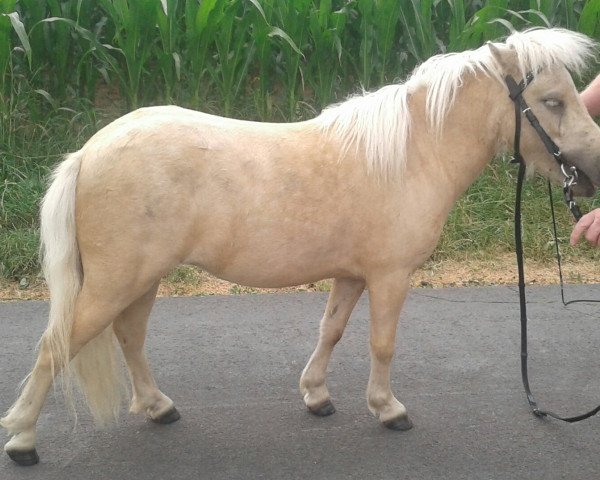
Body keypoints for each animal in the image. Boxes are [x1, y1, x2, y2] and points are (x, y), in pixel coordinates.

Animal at [1, 27, 600, 464]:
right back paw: (24, 440)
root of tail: (89, 151)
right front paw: (388, 409)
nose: (590, 173)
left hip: (141, 278)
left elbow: (330, 330)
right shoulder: (389, 276)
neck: (411, 153)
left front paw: (316, 395)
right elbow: (382, 344)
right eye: (551, 101)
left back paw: (158, 407)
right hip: (115, 280)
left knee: (129, 337)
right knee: (58, 346)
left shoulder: (352, 274)